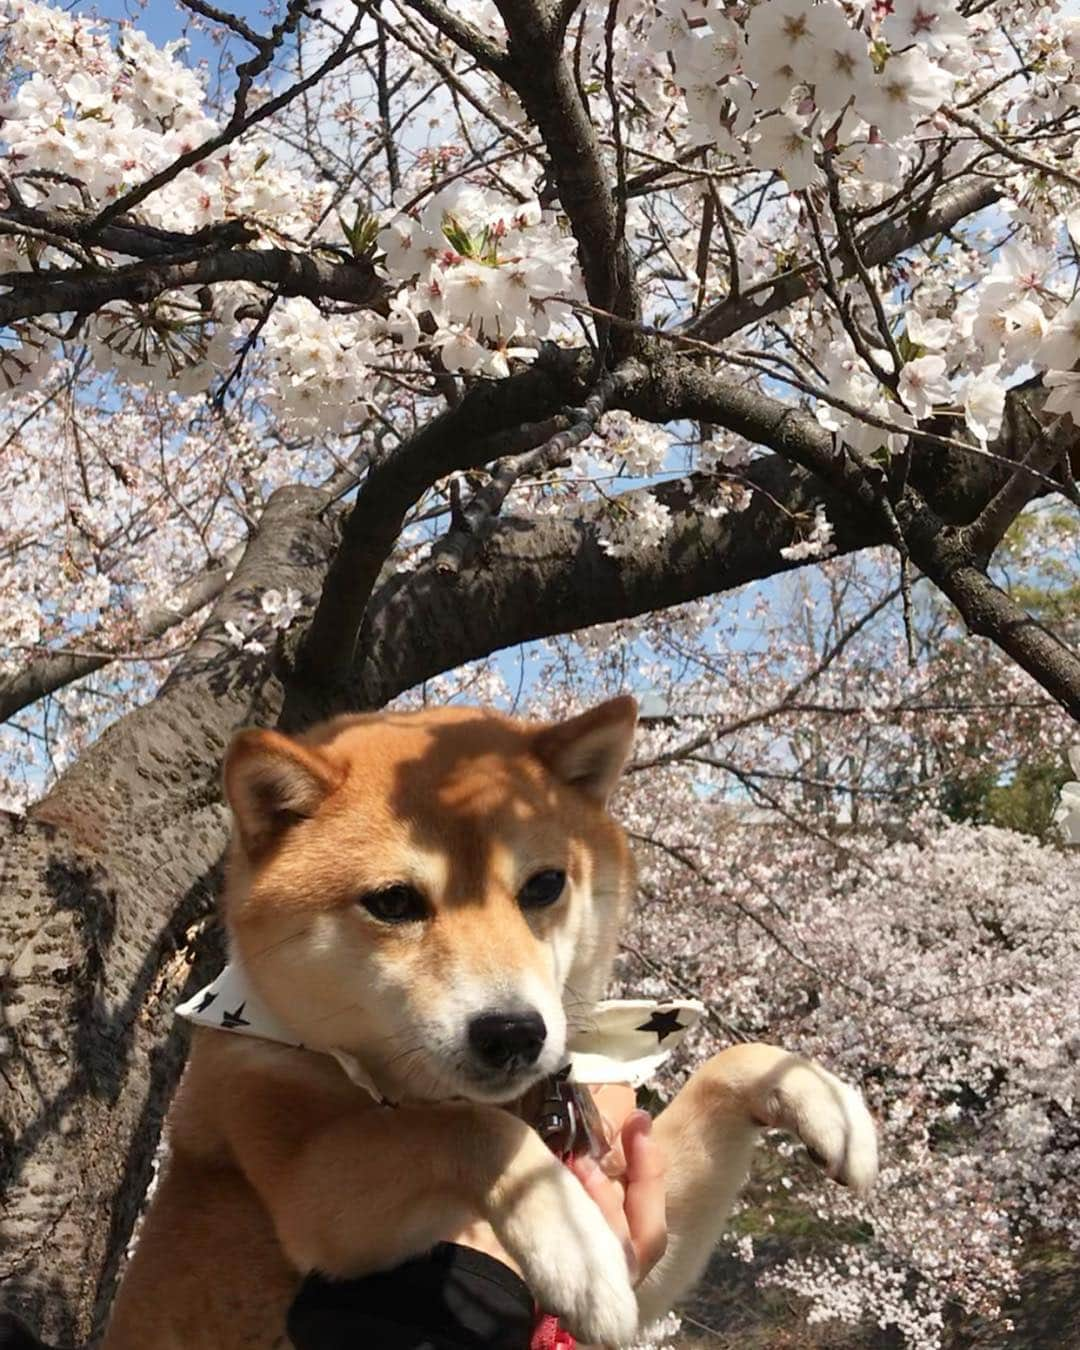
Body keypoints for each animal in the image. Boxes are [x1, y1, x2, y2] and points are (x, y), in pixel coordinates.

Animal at [103, 702, 874, 1344]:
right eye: (393, 902)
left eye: (546, 885)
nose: (513, 1033)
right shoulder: (303, 1183)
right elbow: (466, 1129)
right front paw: (575, 1244)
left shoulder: (645, 1229)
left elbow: (727, 1064)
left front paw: (825, 1101)